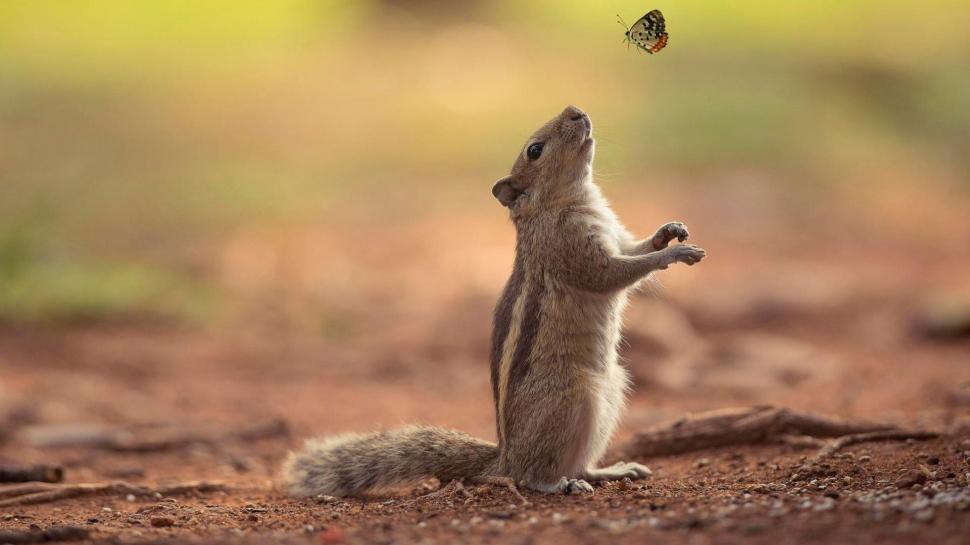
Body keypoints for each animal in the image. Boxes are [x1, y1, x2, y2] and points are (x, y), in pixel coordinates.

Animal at [281, 105, 706, 496]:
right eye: (535, 150)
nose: (575, 110)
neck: (564, 202)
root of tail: (505, 456)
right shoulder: (572, 250)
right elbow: (613, 274)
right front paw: (674, 253)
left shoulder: (616, 236)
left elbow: (635, 248)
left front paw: (669, 231)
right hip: (574, 398)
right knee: (532, 475)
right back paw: (559, 484)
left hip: (613, 390)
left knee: (578, 463)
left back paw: (610, 471)